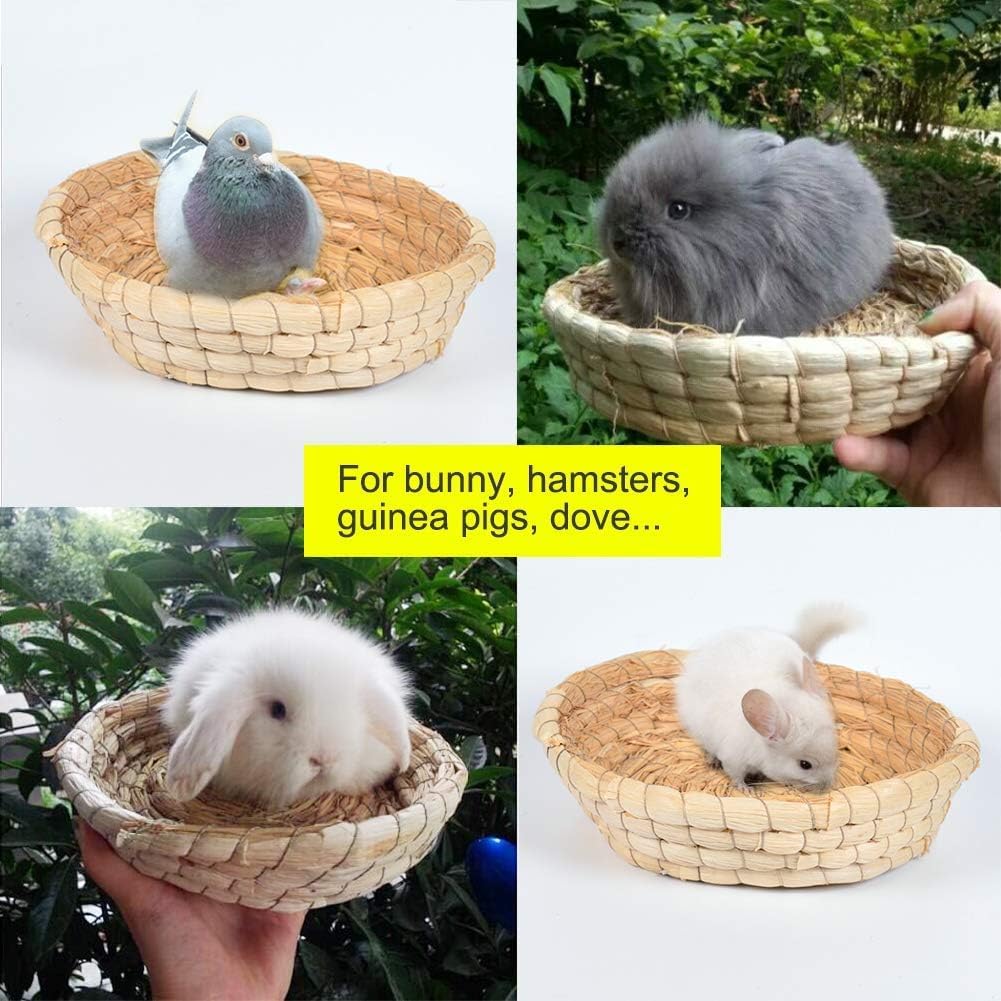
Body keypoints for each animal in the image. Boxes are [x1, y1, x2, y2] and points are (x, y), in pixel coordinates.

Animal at [674, 603, 863, 792]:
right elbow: (735, 775)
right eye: (805, 764)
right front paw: (746, 789)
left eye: (836, 750)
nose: (827, 786)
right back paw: (712, 760)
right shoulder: (733, 758)